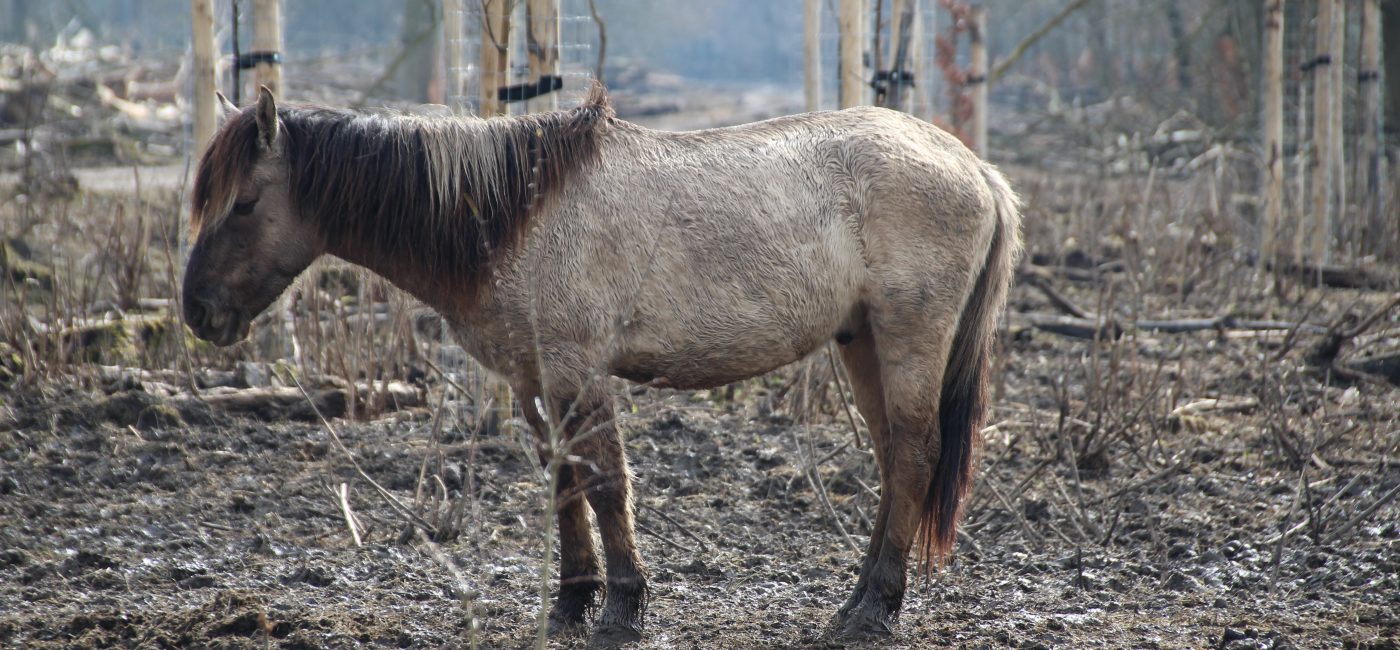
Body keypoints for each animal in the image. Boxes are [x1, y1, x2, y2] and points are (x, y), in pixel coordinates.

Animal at [182, 84, 1022, 643]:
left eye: (245, 202)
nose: (198, 313)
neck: (514, 214)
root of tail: (973, 168)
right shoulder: (533, 380)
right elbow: (563, 484)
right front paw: (571, 602)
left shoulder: (577, 370)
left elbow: (607, 483)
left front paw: (622, 608)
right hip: (864, 343)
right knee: (894, 460)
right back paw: (859, 600)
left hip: (909, 338)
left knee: (914, 456)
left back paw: (873, 609)